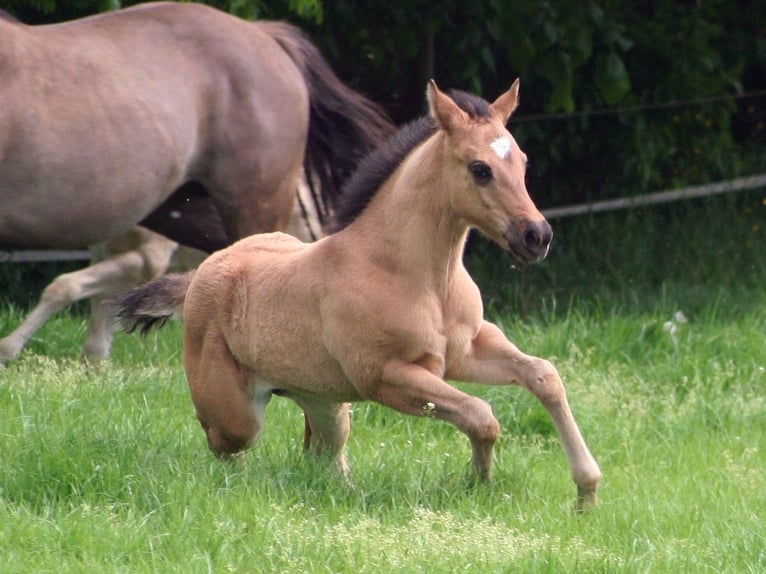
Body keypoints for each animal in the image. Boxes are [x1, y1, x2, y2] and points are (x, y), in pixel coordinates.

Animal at [0, 177, 323, 366]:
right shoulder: (105, 252)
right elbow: (103, 302)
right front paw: (96, 361)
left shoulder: (147, 259)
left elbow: (65, 286)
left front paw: (9, 348)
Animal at [113, 80, 602, 509]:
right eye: (480, 169)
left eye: (522, 161)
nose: (536, 236)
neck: (419, 277)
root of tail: (200, 274)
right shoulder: (390, 377)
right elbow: (482, 416)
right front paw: (478, 486)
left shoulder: (466, 351)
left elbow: (543, 375)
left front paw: (587, 492)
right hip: (238, 418)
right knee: (227, 450)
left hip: (327, 404)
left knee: (322, 457)